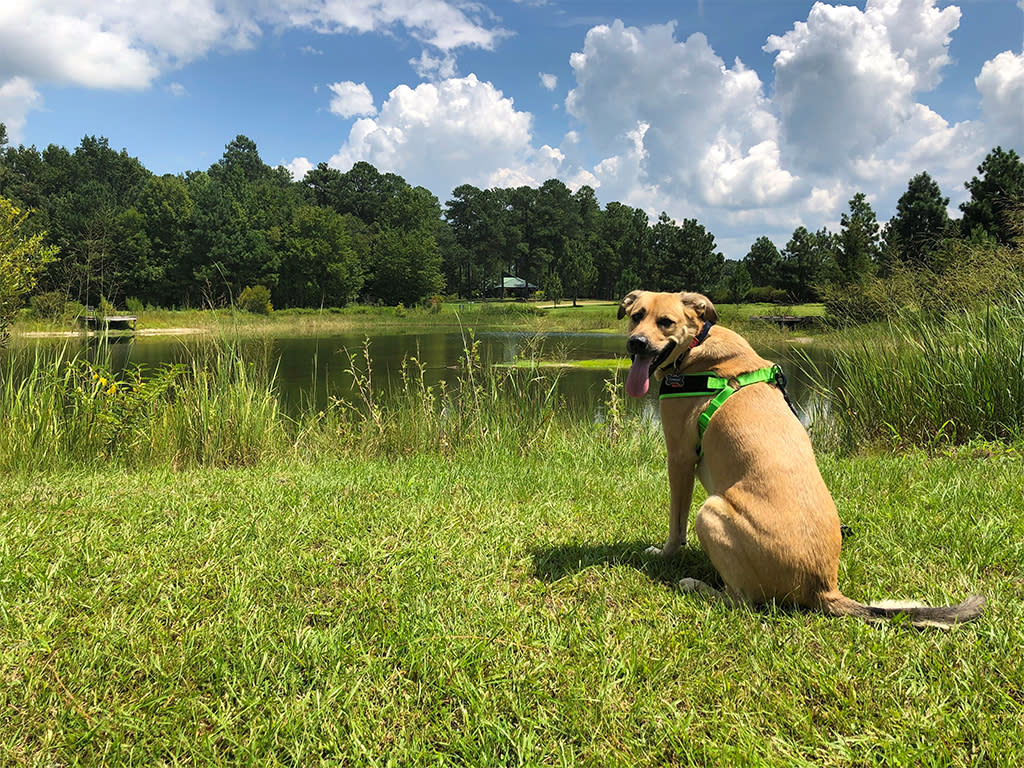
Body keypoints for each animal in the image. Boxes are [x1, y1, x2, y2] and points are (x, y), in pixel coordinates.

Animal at [614, 290, 983, 626]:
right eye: (636, 315)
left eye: (666, 322)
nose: (636, 343)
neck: (695, 348)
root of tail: (823, 587)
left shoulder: (679, 457)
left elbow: (676, 524)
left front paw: (664, 554)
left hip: (712, 511)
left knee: (742, 601)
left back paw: (697, 586)